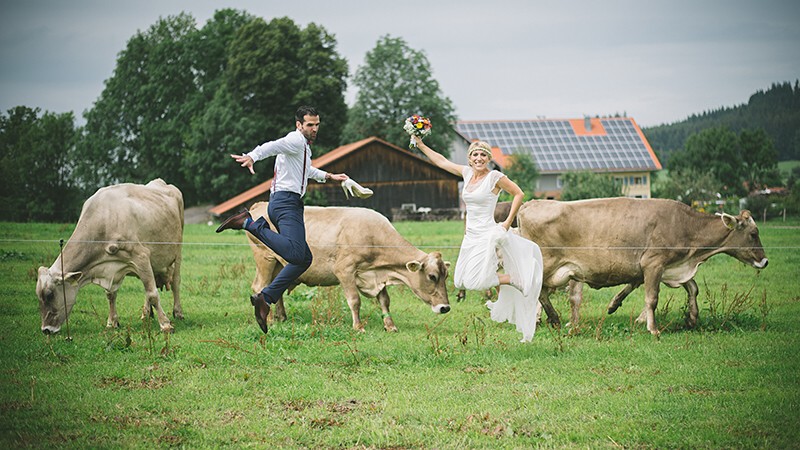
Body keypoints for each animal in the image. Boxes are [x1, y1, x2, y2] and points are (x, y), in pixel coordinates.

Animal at [36, 179, 184, 334]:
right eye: (38, 296)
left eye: (50, 295)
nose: (46, 329)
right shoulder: (112, 268)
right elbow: (111, 295)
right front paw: (112, 322)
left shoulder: (141, 256)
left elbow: (152, 294)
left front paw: (165, 324)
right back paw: (146, 313)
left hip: (177, 251)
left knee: (175, 282)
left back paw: (178, 312)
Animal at [245, 202, 450, 332]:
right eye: (432, 276)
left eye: (446, 276)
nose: (445, 308)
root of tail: (260, 205)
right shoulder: (344, 270)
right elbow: (354, 300)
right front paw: (358, 327)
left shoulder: (376, 275)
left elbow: (385, 301)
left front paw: (390, 325)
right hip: (266, 258)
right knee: (260, 286)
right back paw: (268, 319)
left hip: (280, 265)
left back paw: (281, 317)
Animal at [520, 199, 768, 336]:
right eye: (753, 234)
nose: (764, 261)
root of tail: (530, 204)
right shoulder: (653, 263)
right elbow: (652, 298)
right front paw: (653, 328)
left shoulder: (672, 267)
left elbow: (693, 288)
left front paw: (691, 318)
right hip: (546, 264)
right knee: (536, 292)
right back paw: (553, 319)